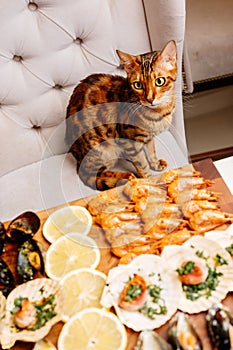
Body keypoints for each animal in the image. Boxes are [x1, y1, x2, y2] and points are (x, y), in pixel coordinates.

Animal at [65, 40, 177, 191]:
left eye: (160, 81)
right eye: (138, 85)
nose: (149, 99)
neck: (159, 112)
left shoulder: (148, 137)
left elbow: (151, 151)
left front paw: (156, 164)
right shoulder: (129, 142)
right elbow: (142, 165)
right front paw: (150, 180)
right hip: (102, 149)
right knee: (90, 175)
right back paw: (126, 177)